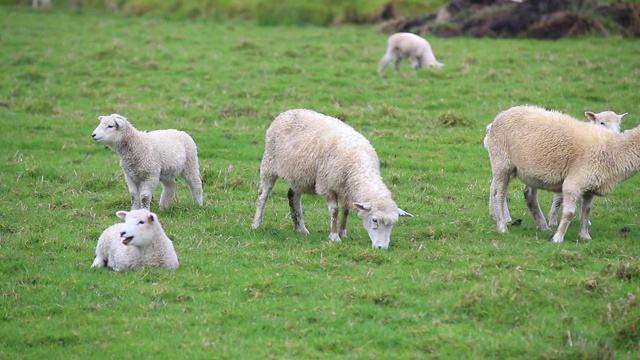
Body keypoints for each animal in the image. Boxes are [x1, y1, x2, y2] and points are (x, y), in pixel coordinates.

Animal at [249, 108, 410, 249]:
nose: (382, 247)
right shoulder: (327, 186)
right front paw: (334, 236)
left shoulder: (346, 190)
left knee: (293, 196)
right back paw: (256, 224)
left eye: (393, 224)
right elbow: (335, 211)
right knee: (263, 196)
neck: (360, 168)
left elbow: (345, 211)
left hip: (300, 174)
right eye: (374, 220)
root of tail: (287, 112)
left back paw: (301, 228)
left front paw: (343, 232)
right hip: (269, 166)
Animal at [484, 105, 636, 243]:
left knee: (524, 194)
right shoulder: (574, 178)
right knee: (498, 193)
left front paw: (584, 228)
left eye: (620, 125)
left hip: (527, 170)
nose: (617, 134)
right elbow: (564, 205)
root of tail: (500, 116)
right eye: (602, 122)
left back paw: (540, 225)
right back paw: (502, 223)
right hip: (503, 163)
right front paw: (556, 226)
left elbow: (584, 208)